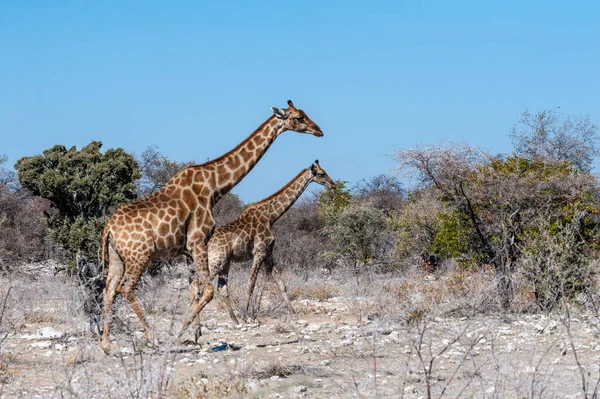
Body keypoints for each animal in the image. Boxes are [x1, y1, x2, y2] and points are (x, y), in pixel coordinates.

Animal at [190, 159, 336, 322]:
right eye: (322, 173)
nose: (333, 184)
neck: (271, 215)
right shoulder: (259, 252)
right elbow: (250, 285)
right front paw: (245, 316)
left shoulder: (268, 253)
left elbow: (281, 284)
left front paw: (294, 314)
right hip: (216, 261)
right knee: (199, 285)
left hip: (225, 263)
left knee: (220, 288)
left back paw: (232, 320)